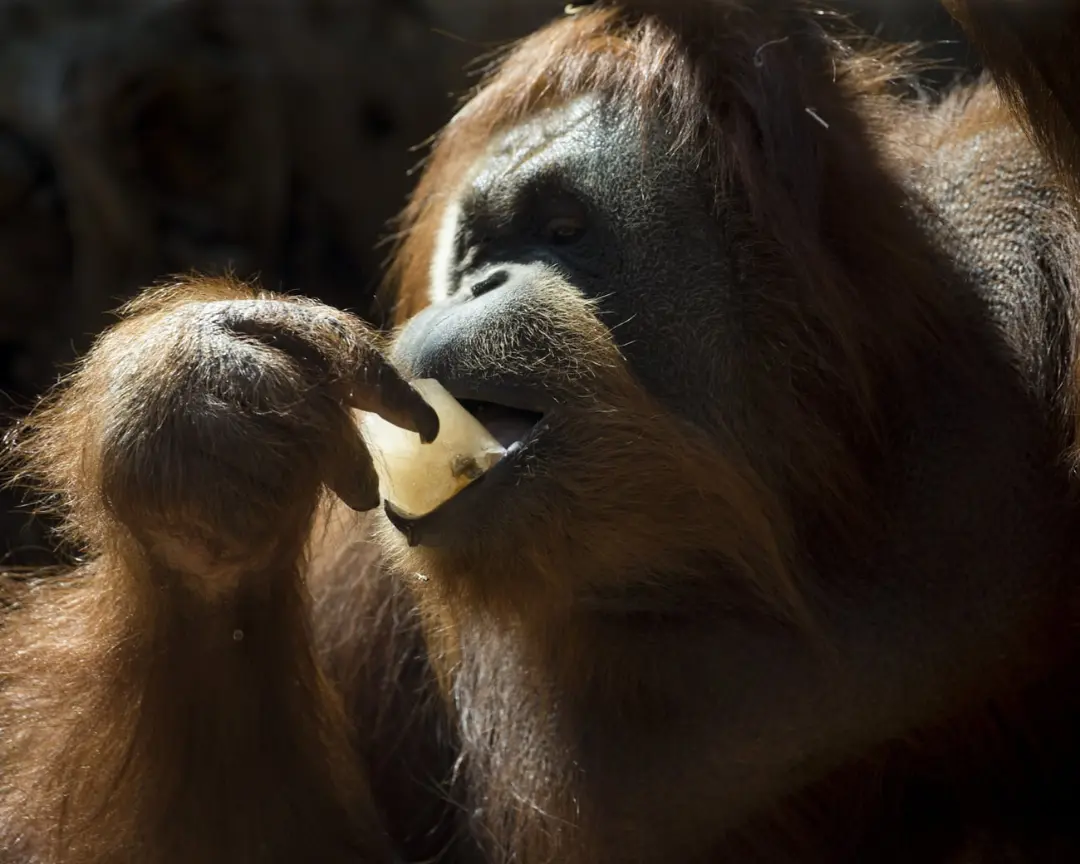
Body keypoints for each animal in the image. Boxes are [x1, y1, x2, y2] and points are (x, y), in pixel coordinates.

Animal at [4, 1, 1080, 862]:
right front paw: (192, 425)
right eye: (478, 246)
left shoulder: (1022, 227)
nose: (478, 281)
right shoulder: (369, 553)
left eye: (562, 228)